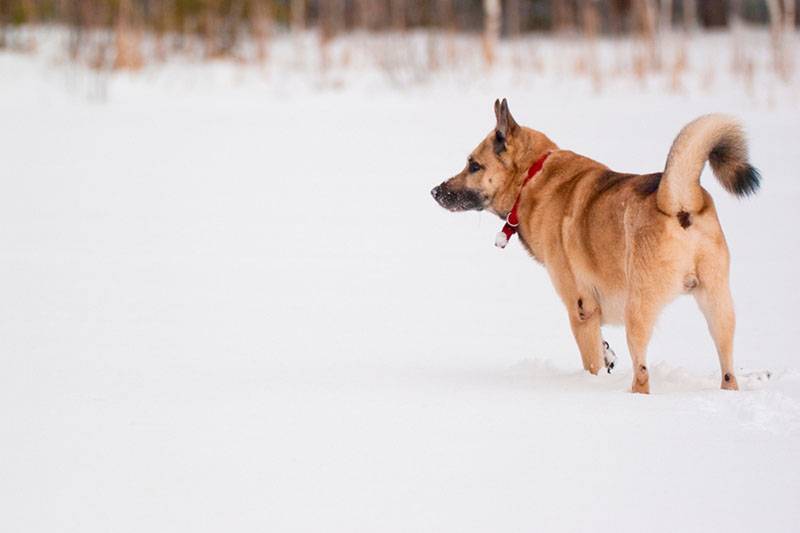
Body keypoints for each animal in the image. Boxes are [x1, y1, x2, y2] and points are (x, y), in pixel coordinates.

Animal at [434, 97, 760, 392]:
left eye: (474, 165)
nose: (434, 191)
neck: (532, 177)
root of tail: (679, 202)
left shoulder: (581, 309)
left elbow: (592, 362)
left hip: (637, 309)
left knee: (642, 375)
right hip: (718, 305)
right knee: (728, 371)